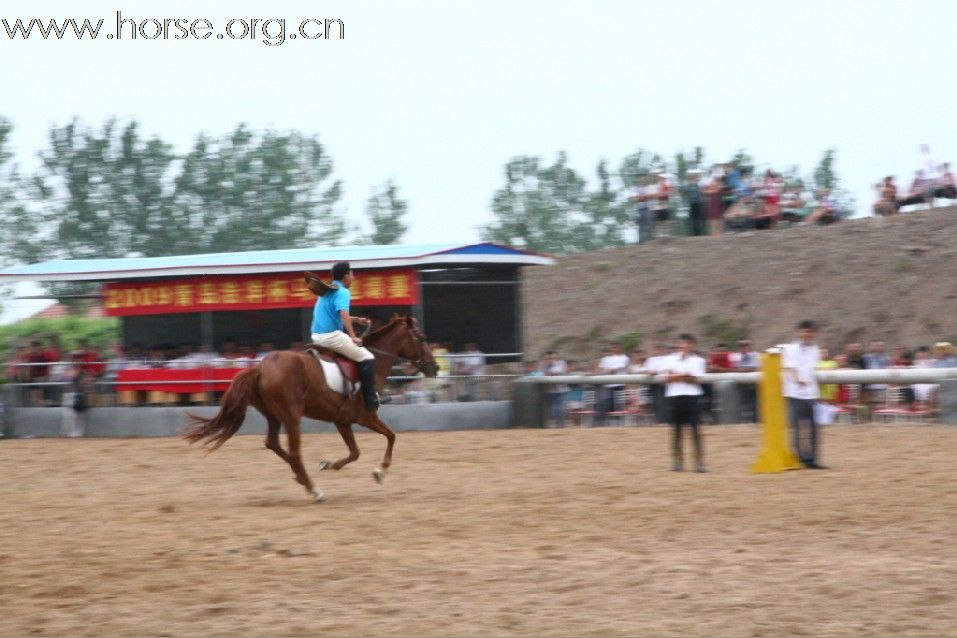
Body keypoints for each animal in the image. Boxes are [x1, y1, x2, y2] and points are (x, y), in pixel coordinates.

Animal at [181, 318, 438, 502]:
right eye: (421, 337)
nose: (434, 367)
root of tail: (260, 368)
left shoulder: (342, 420)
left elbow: (355, 452)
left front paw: (328, 464)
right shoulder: (366, 416)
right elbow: (391, 437)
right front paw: (379, 472)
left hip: (274, 416)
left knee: (273, 444)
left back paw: (301, 478)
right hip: (292, 416)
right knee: (294, 452)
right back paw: (314, 489)